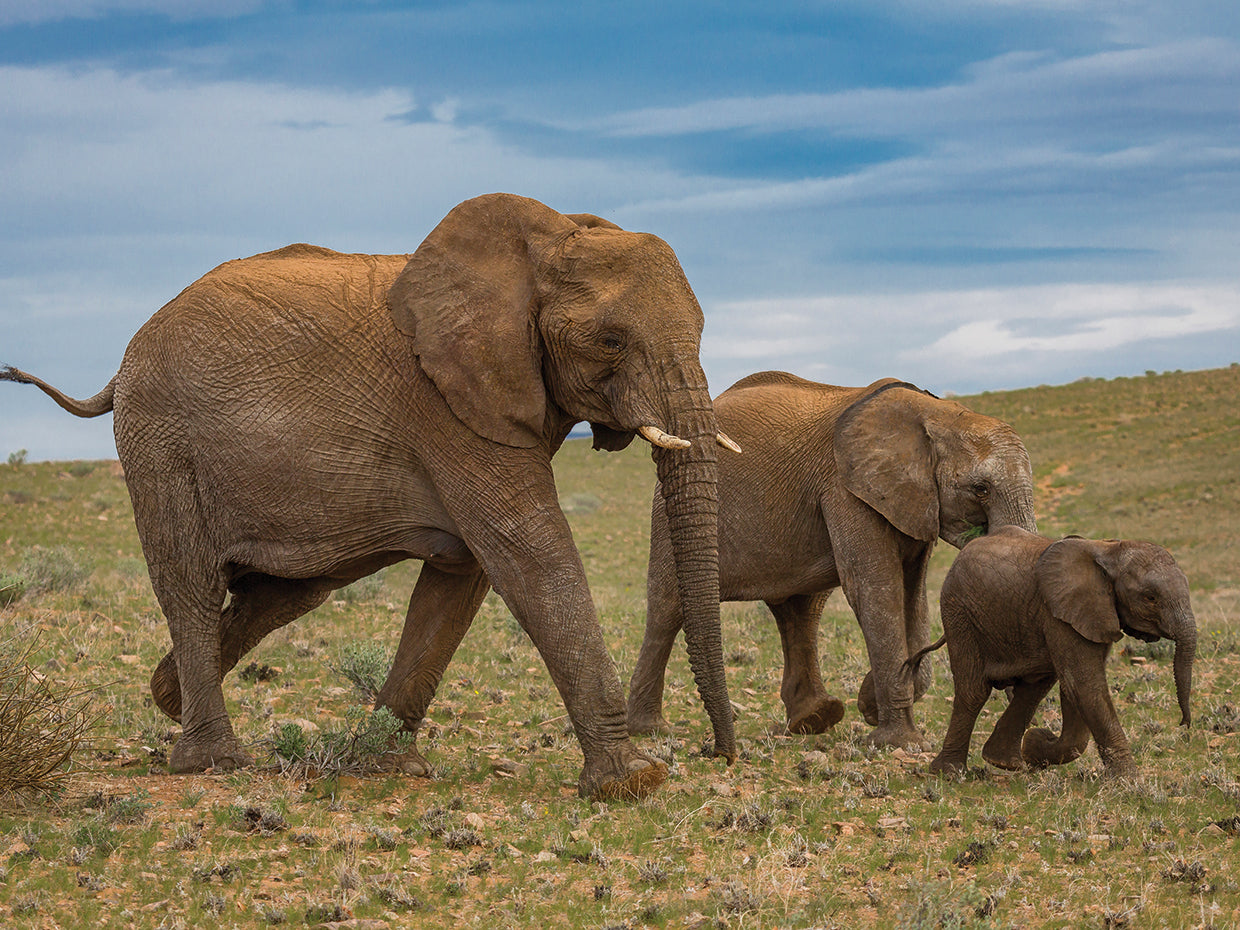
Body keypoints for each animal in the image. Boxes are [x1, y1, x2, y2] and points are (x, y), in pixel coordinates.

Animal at [1, 192, 739, 800]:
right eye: (611, 340)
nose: (722, 755)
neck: (545, 240)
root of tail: (124, 360)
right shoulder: (444, 408)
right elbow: (529, 553)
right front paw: (633, 781)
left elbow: (459, 577)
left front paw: (386, 764)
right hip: (161, 441)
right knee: (190, 585)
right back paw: (213, 761)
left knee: (281, 593)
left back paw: (167, 698)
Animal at [627, 372, 1038, 749]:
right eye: (980, 489)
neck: (938, 413)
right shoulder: (846, 489)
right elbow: (876, 591)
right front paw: (899, 742)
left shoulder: (915, 503)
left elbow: (913, 595)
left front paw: (872, 702)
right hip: (667, 513)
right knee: (667, 609)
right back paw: (651, 729)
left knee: (802, 609)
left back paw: (815, 719)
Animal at [908, 526, 1195, 777]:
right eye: (1150, 598)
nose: (1184, 724)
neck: (1109, 551)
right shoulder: (1061, 612)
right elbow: (1083, 684)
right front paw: (1130, 781)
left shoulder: (1092, 614)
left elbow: (1075, 687)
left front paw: (1035, 748)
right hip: (959, 613)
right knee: (974, 691)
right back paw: (949, 772)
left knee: (1034, 687)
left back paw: (1006, 762)